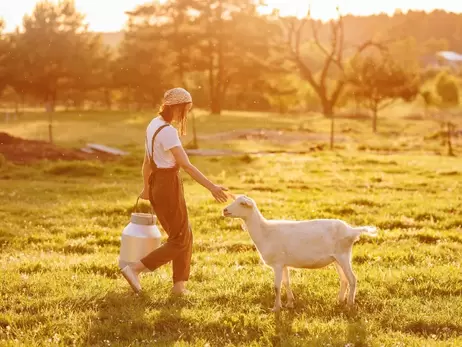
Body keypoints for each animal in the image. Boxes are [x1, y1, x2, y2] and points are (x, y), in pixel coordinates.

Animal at [222, 196, 378, 312]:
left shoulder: (277, 264)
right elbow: (286, 283)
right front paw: (290, 303)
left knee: (352, 279)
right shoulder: (283, 263)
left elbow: (276, 287)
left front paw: (275, 308)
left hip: (343, 256)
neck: (264, 231)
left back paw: (350, 304)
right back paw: (339, 300)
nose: (224, 210)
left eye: (242, 203)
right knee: (344, 279)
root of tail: (352, 231)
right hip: (337, 259)